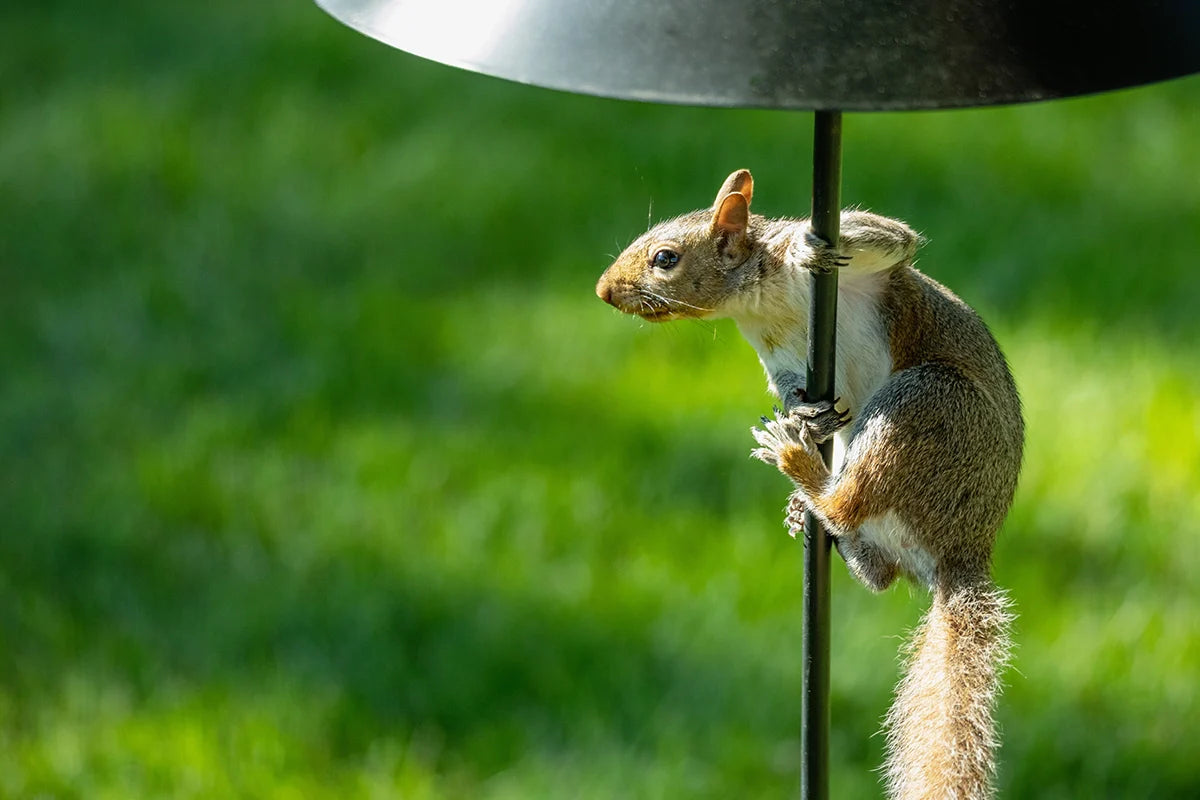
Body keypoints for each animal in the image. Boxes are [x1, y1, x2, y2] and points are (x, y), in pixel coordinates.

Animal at [596, 169, 1023, 800]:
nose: (604, 292)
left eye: (665, 258)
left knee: (849, 503)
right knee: (877, 564)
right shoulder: (779, 355)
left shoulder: (869, 267)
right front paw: (803, 411)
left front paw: (804, 246)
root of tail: (964, 549)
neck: (760, 303)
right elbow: (793, 387)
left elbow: (892, 238)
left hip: (926, 404)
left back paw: (801, 468)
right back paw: (815, 511)